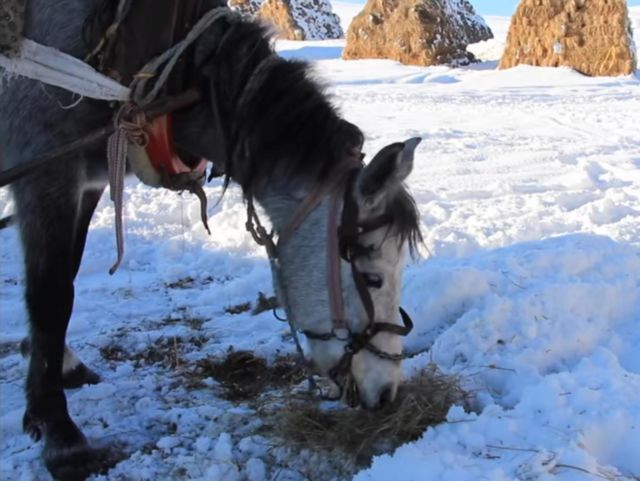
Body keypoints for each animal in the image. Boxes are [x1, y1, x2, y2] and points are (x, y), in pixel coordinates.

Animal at [0, 0, 422, 479]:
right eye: (372, 277)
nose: (387, 393)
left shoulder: (87, 182)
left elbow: (66, 279)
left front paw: (54, 372)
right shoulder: (46, 175)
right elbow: (52, 296)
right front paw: (59, 430)